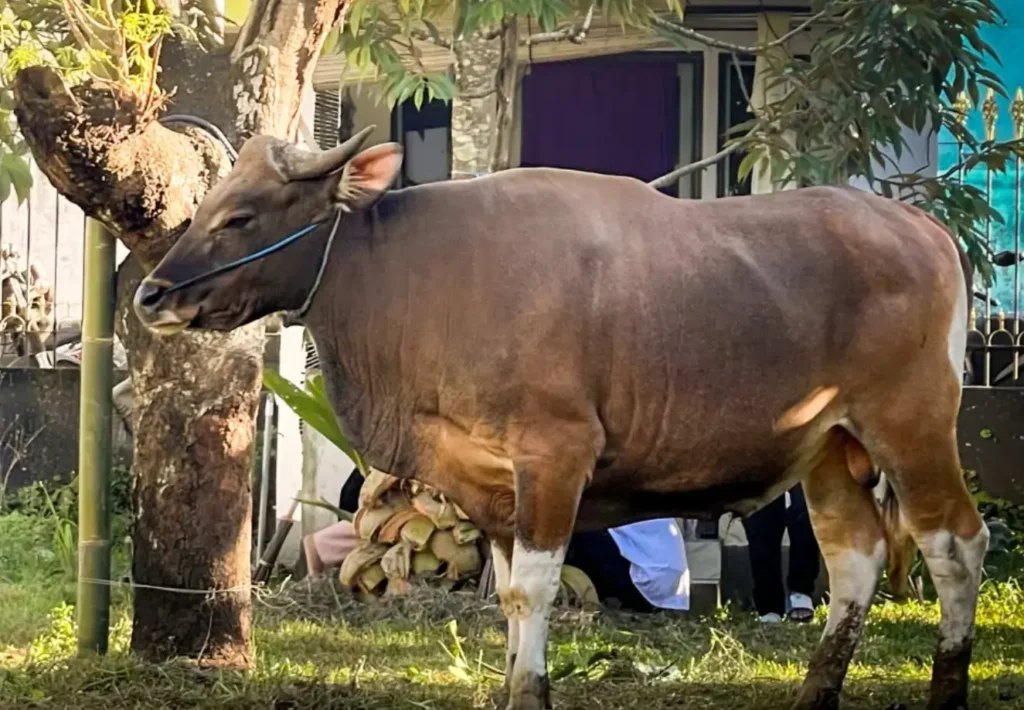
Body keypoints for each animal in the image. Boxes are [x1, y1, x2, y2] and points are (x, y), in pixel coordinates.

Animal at [133, 126, 988, 710]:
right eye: (208, 206)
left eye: (241, 216)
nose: (150, 294)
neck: (411, 275)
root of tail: (927, 230)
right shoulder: (489, 482)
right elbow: (510, 595)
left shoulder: (555, 455)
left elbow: (533, 593)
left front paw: (531, 691)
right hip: (827, 448)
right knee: (856, 560)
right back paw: (817, 691)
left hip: (912, 425)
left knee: (955, 546)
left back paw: (947, 686)